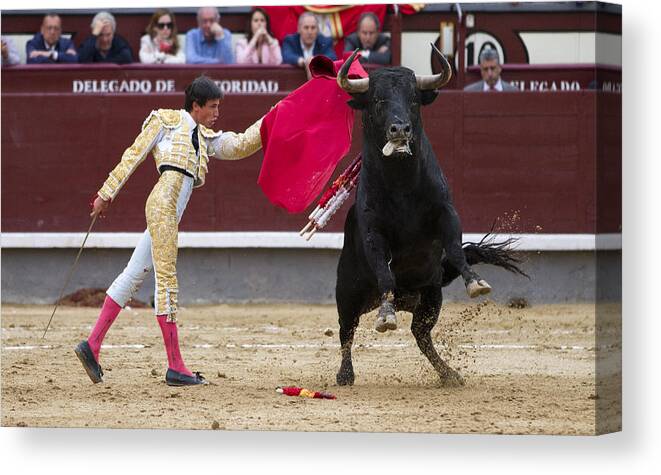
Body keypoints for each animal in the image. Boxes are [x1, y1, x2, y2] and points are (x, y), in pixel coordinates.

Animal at [336, 46, 524, 386]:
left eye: (413, 99)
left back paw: (449, 373)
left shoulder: (446, 213)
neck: (401, 184)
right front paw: (386, 316)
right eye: (377, 100)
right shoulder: (372, 231)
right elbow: (385, 272)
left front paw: (476, 282)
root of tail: (405, 299)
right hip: (347, 294)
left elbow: (456, 250)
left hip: (431, 297)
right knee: (347, 332)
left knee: (421, 335)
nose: (400, 129)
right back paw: (346, 372)